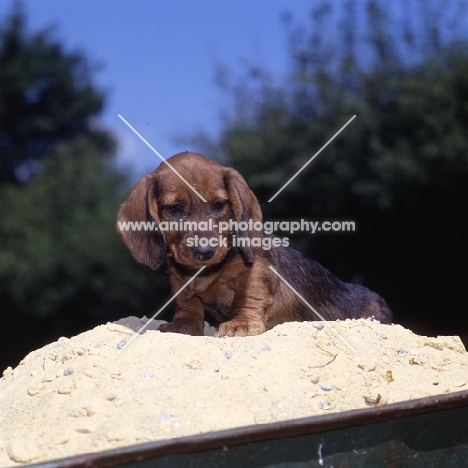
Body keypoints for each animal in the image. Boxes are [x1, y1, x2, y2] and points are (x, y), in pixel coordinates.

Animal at [116, 153, 392, 336]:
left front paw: (242, 323)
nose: (205, 252)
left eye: (219, 205)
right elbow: (188, 303)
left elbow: (248, 295)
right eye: (174, 208)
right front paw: (183, 325)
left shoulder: (256, 269)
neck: (208, 272)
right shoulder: (180, 280)